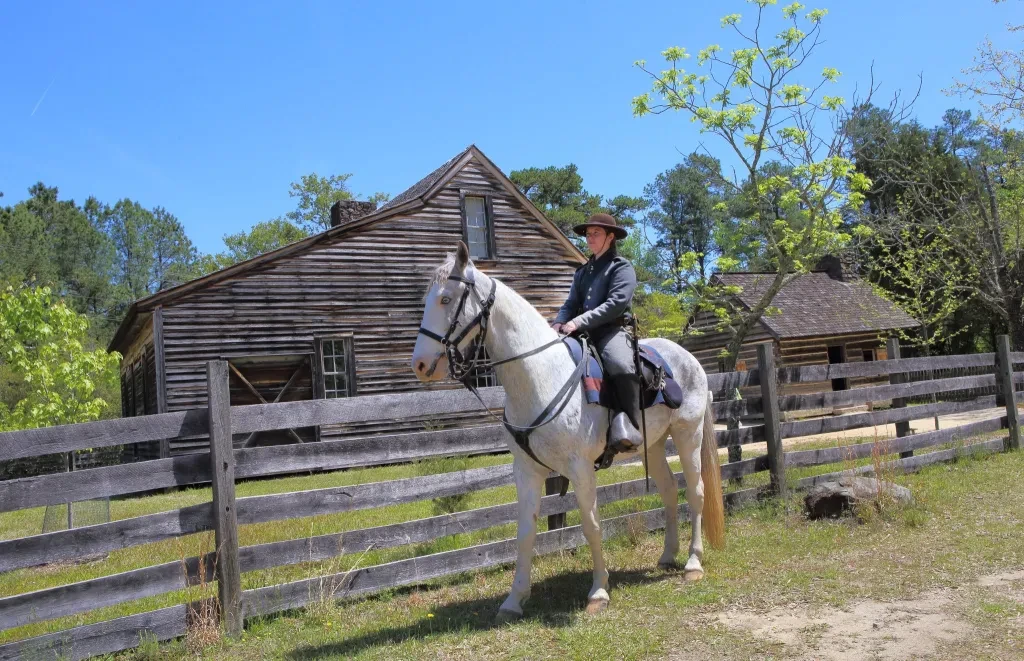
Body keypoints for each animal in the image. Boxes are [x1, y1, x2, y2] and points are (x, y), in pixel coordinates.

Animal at [411, 241, 724, 621]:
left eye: (445, 299)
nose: (420, 365)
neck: (540, 375)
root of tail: (689, 359)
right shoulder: (526, 470)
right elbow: (526, 533)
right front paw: (514, 600)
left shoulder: (580, 468)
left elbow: (591, 526)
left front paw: (599, 592)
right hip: (653, 444)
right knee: (668, 491)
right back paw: (667, 556)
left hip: (687, 436)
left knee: (695, 492)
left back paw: (693, 563)